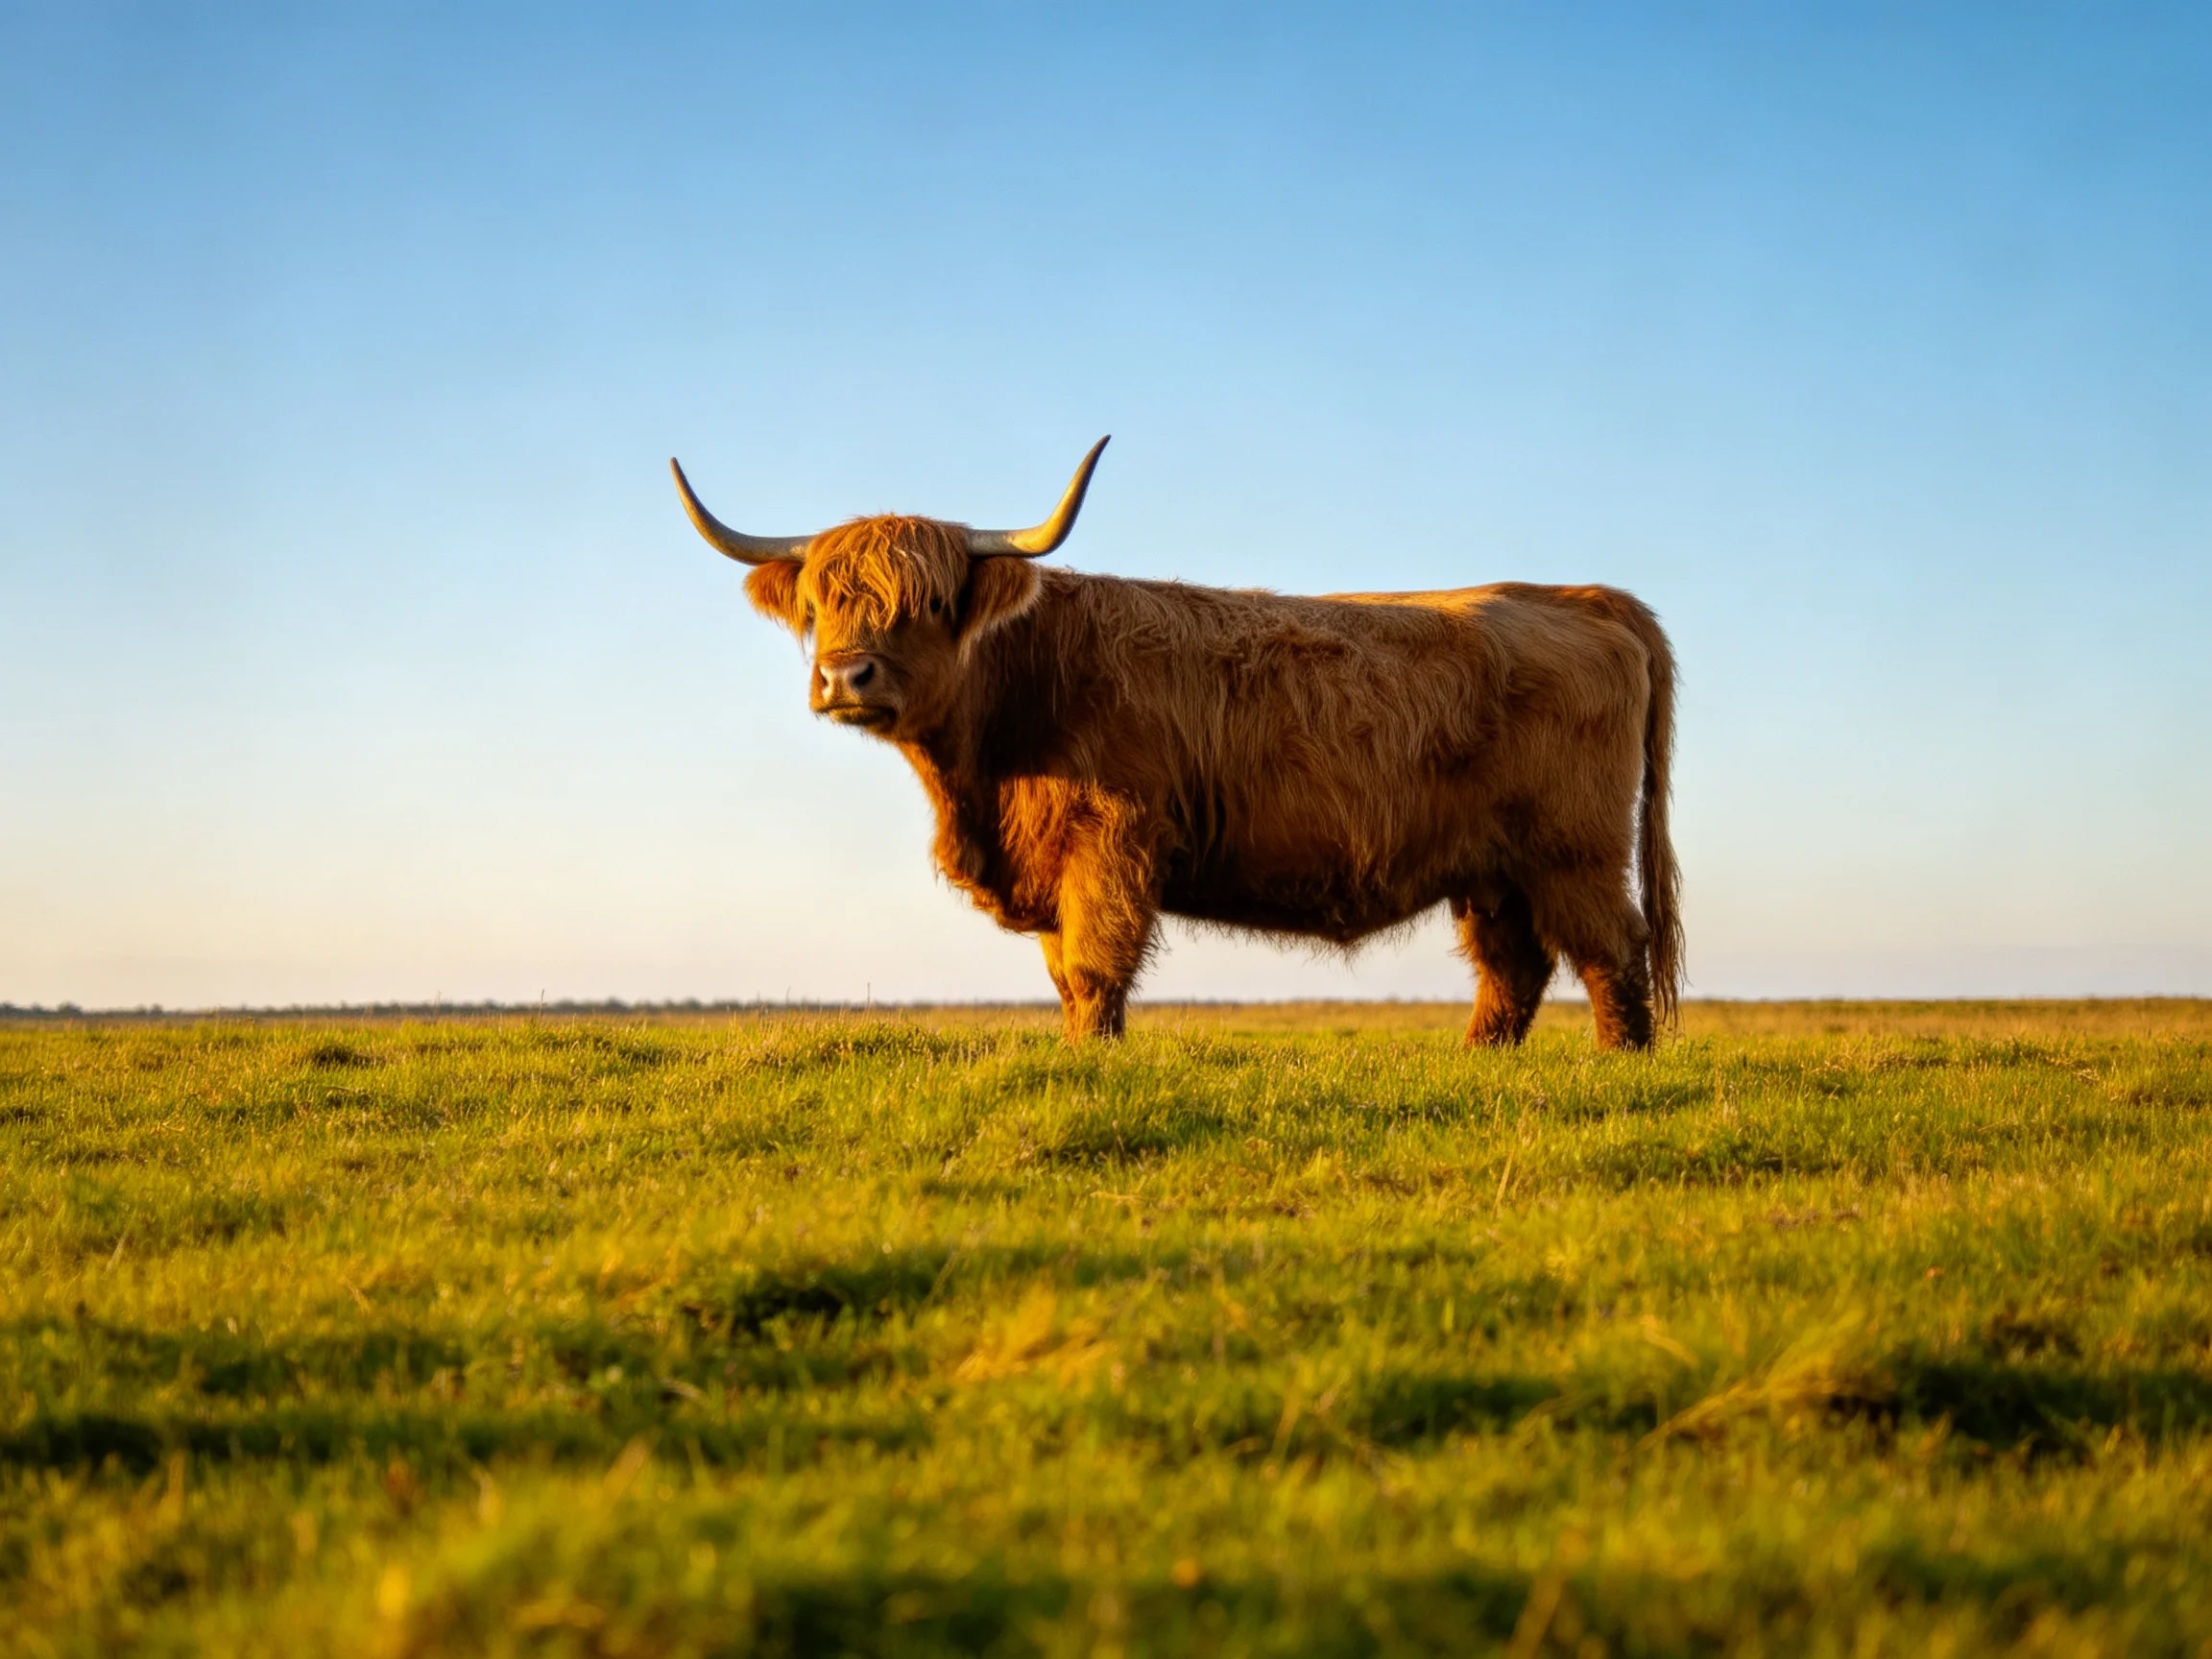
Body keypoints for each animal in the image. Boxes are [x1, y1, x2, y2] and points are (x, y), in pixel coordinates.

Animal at [672, 439, 1681, 1050]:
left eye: (926, 602)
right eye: (821, 604)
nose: (847, 678)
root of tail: (1579, 595)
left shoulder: (1111, 842)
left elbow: (1093, 967)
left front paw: (1090, 1062)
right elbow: (1063, 973)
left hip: (1574, 850)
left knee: (1611, 954)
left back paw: (1615, 1068)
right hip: (1492, 868)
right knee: (1513, 969)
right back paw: (1478, 1063)